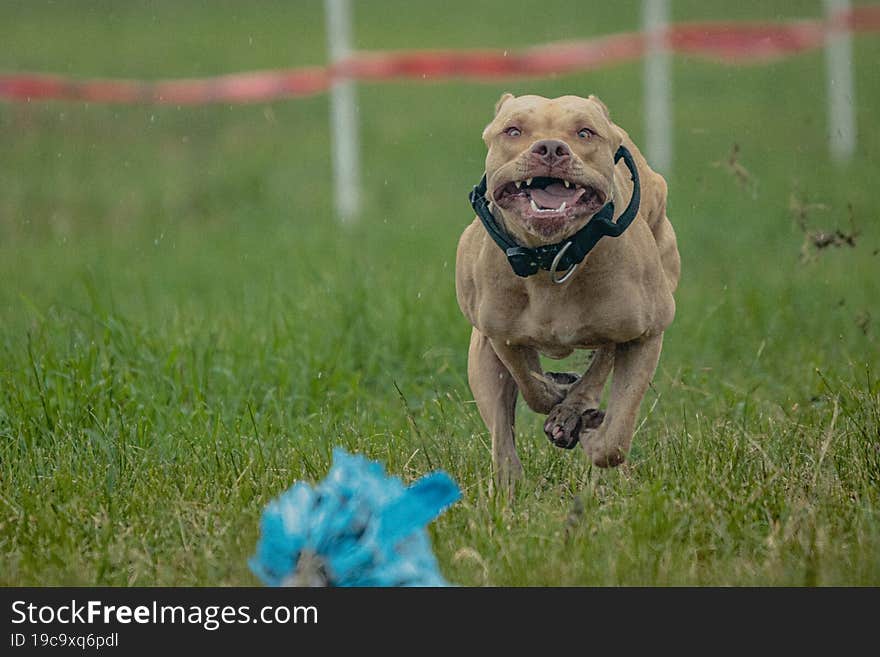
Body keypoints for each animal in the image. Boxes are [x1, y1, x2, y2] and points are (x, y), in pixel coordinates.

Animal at [454, 92, 680, 484]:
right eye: (513, 130)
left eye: (585, 133)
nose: (550, 148)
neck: (551, 258)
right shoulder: (501, 336)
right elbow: (531, 386)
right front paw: (559, 396)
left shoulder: (647, 333)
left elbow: (615, 437)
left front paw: (584, 426)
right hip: (481, 352)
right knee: (501, 432)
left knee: (603, 363)